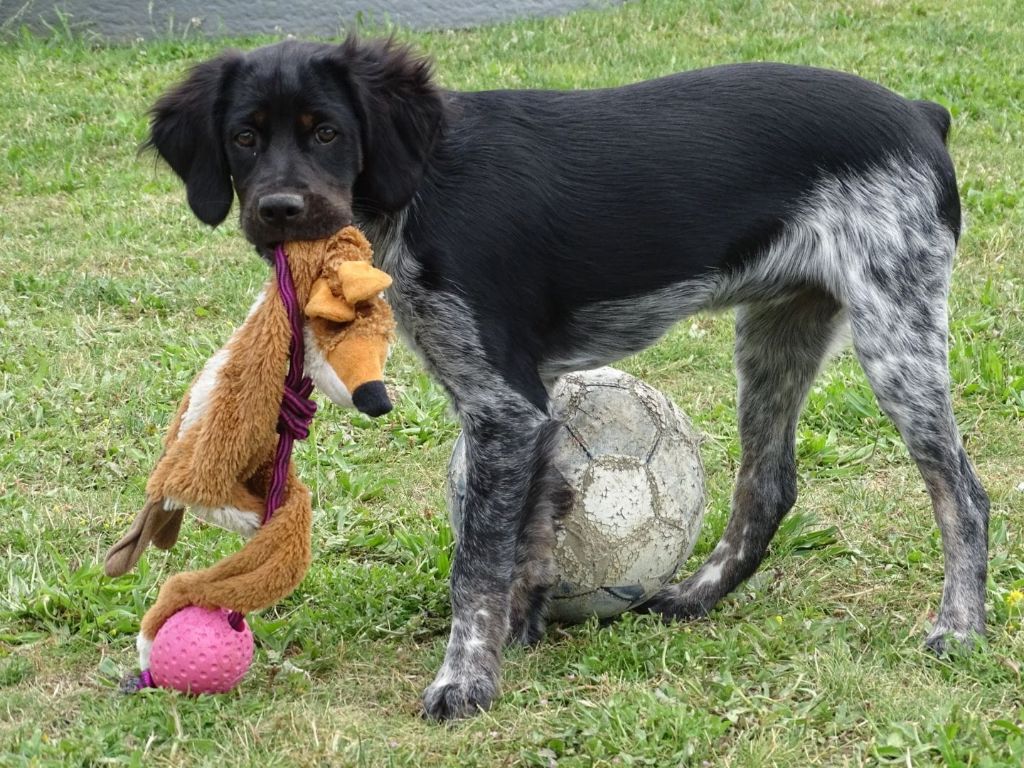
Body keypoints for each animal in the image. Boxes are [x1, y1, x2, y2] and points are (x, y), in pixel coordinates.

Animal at [144, 36, 983, 720]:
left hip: (896, 333)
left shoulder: (503, 404)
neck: (420, 186)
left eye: (327, 132)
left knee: (961, 495)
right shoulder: (527, 404)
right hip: (778, 333)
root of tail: (920, 113)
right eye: (244, 138)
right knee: (768, 485)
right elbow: (534, 534)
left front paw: (465, 679)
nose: (279, 210)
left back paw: (959, 627)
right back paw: (697, 595)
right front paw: (519, 635)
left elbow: (478, 562)